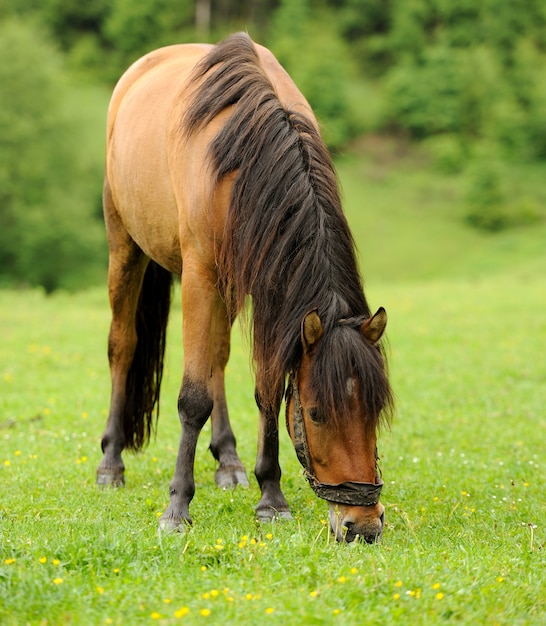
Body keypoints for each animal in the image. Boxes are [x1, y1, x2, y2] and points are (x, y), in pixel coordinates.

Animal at [94, 33, 392, 540]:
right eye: (316, 412)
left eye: (374, 410)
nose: (362, 524)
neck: (242, 158)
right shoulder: (200, 275)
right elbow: (192, 398)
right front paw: (177, 507)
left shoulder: (263, 283)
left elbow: (266, 388)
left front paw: (270, 496)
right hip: (125, 246)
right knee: (123, 345)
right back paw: (111, 463)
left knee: (216, 356)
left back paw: (228, 460)